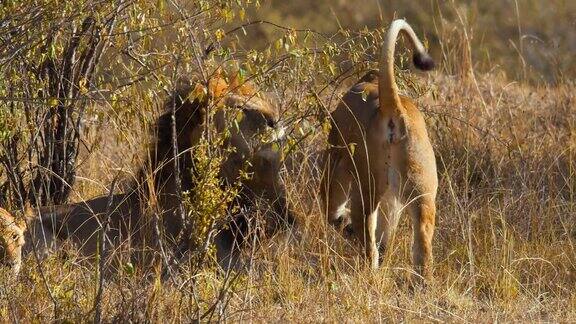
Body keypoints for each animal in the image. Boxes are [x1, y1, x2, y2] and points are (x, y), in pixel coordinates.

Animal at [320, 19, 436, 280]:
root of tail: (392, 107)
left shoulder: (336, 159)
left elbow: (331, 210)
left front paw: (343, 225)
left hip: (366, 184)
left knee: (368, 241)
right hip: (422, 187)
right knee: (421, 243)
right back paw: (421, 282)